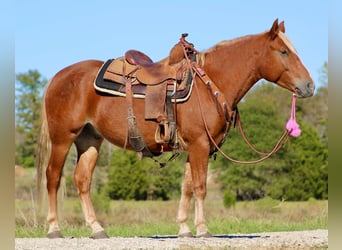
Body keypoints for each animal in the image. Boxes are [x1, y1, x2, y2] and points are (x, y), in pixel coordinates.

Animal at [37, 19, 316, 238]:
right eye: (283, 51)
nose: (309, 86)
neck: (209, 84)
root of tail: (59, 76)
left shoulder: (194, 147)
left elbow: (187, 187)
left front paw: (184, 228)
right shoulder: (200, 144)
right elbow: (200, 186)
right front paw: (202, 229)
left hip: (90, 139)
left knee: (82, 180)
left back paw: (97, 229)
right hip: (63, 138)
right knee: (53, 177)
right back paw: (54, 229)